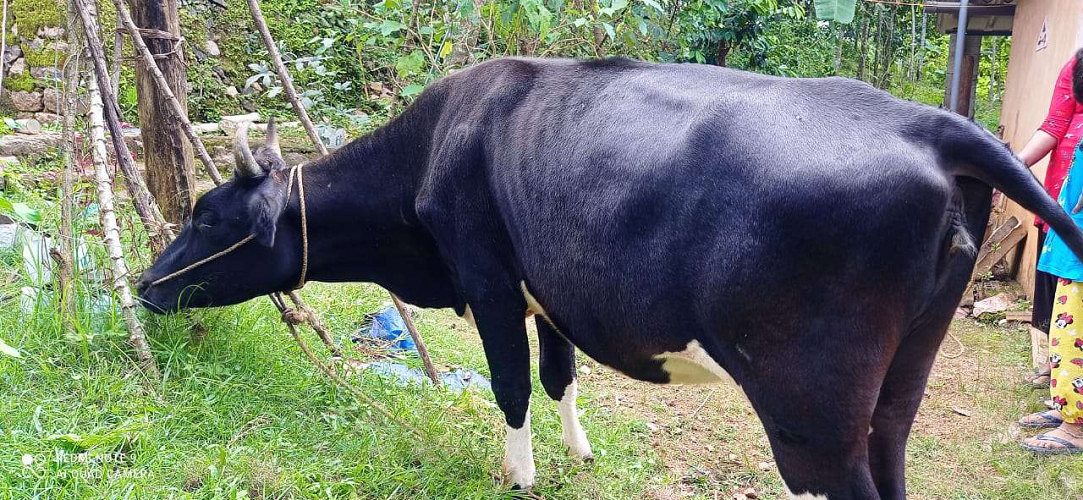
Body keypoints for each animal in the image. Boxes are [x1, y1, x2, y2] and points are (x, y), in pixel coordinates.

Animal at [136, 57, 1083, 499]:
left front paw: (518, 473)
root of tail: (929, 123)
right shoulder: (550, 287)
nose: (144, 287)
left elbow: (511, 383)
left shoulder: (487, 277)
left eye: (207, 218)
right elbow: (559, 374)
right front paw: (579, 453)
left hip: (808, 409)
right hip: (896, 388)